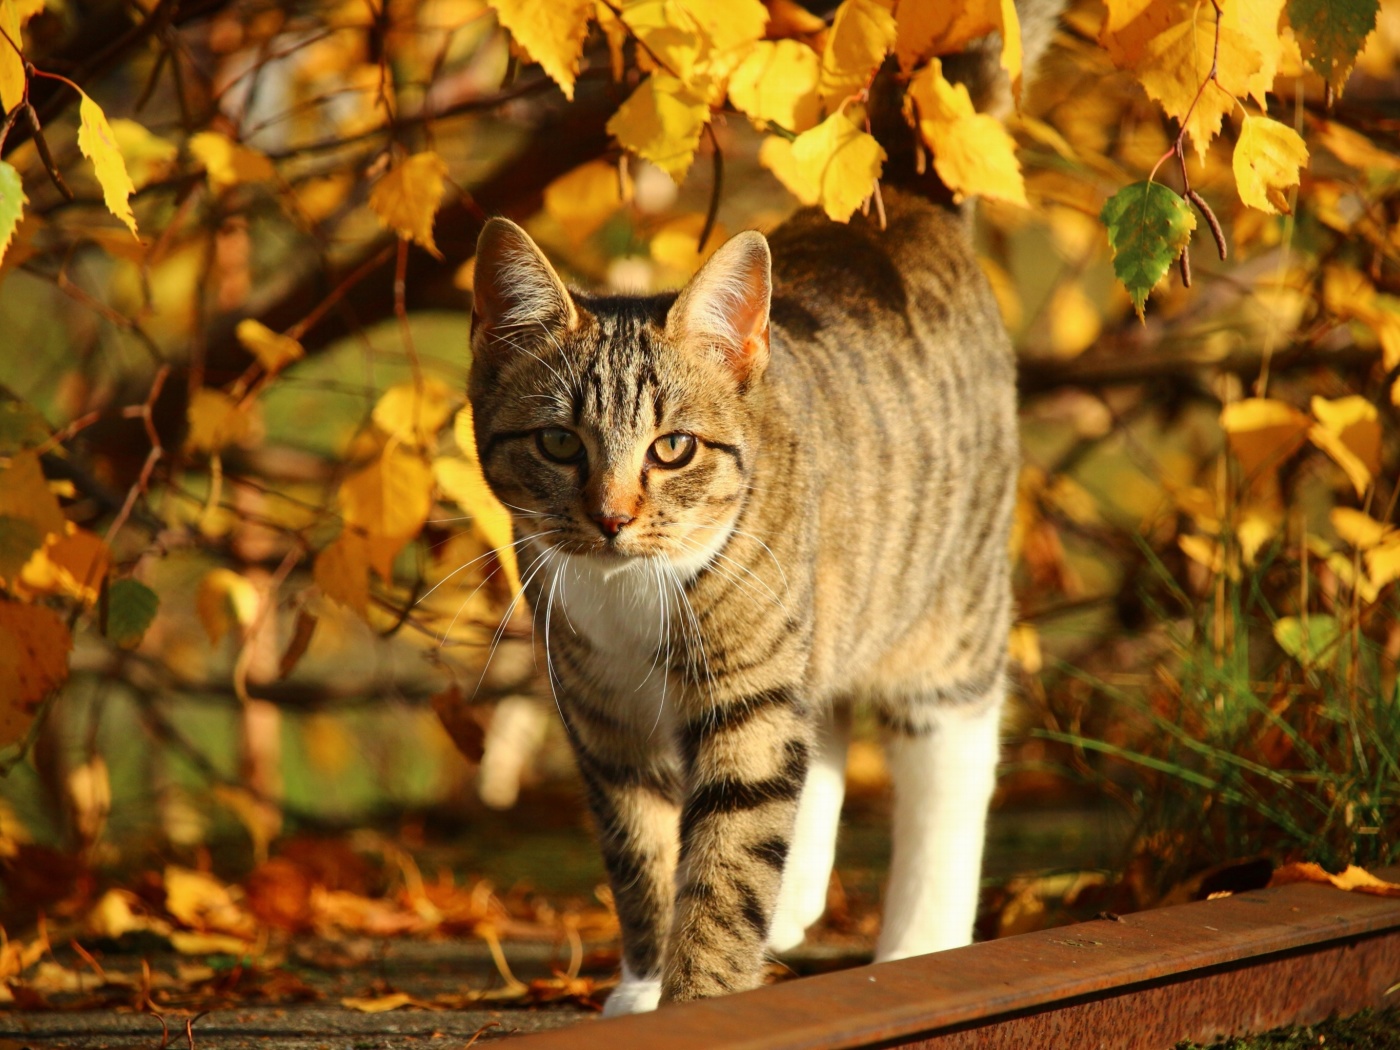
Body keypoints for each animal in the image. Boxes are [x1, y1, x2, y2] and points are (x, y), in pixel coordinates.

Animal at [470, 4, 1058, 1013]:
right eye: (558, 444)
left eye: (672, 449)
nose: (613, 517)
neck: (630, 593)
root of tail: (905, 205)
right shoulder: (600, 715)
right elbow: (641, 851)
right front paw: (643, 981)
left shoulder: (746, 688)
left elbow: (728, 860)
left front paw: (698, 997)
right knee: (817, 728)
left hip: (946, 608)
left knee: (949, 755)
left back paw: (921, 940)